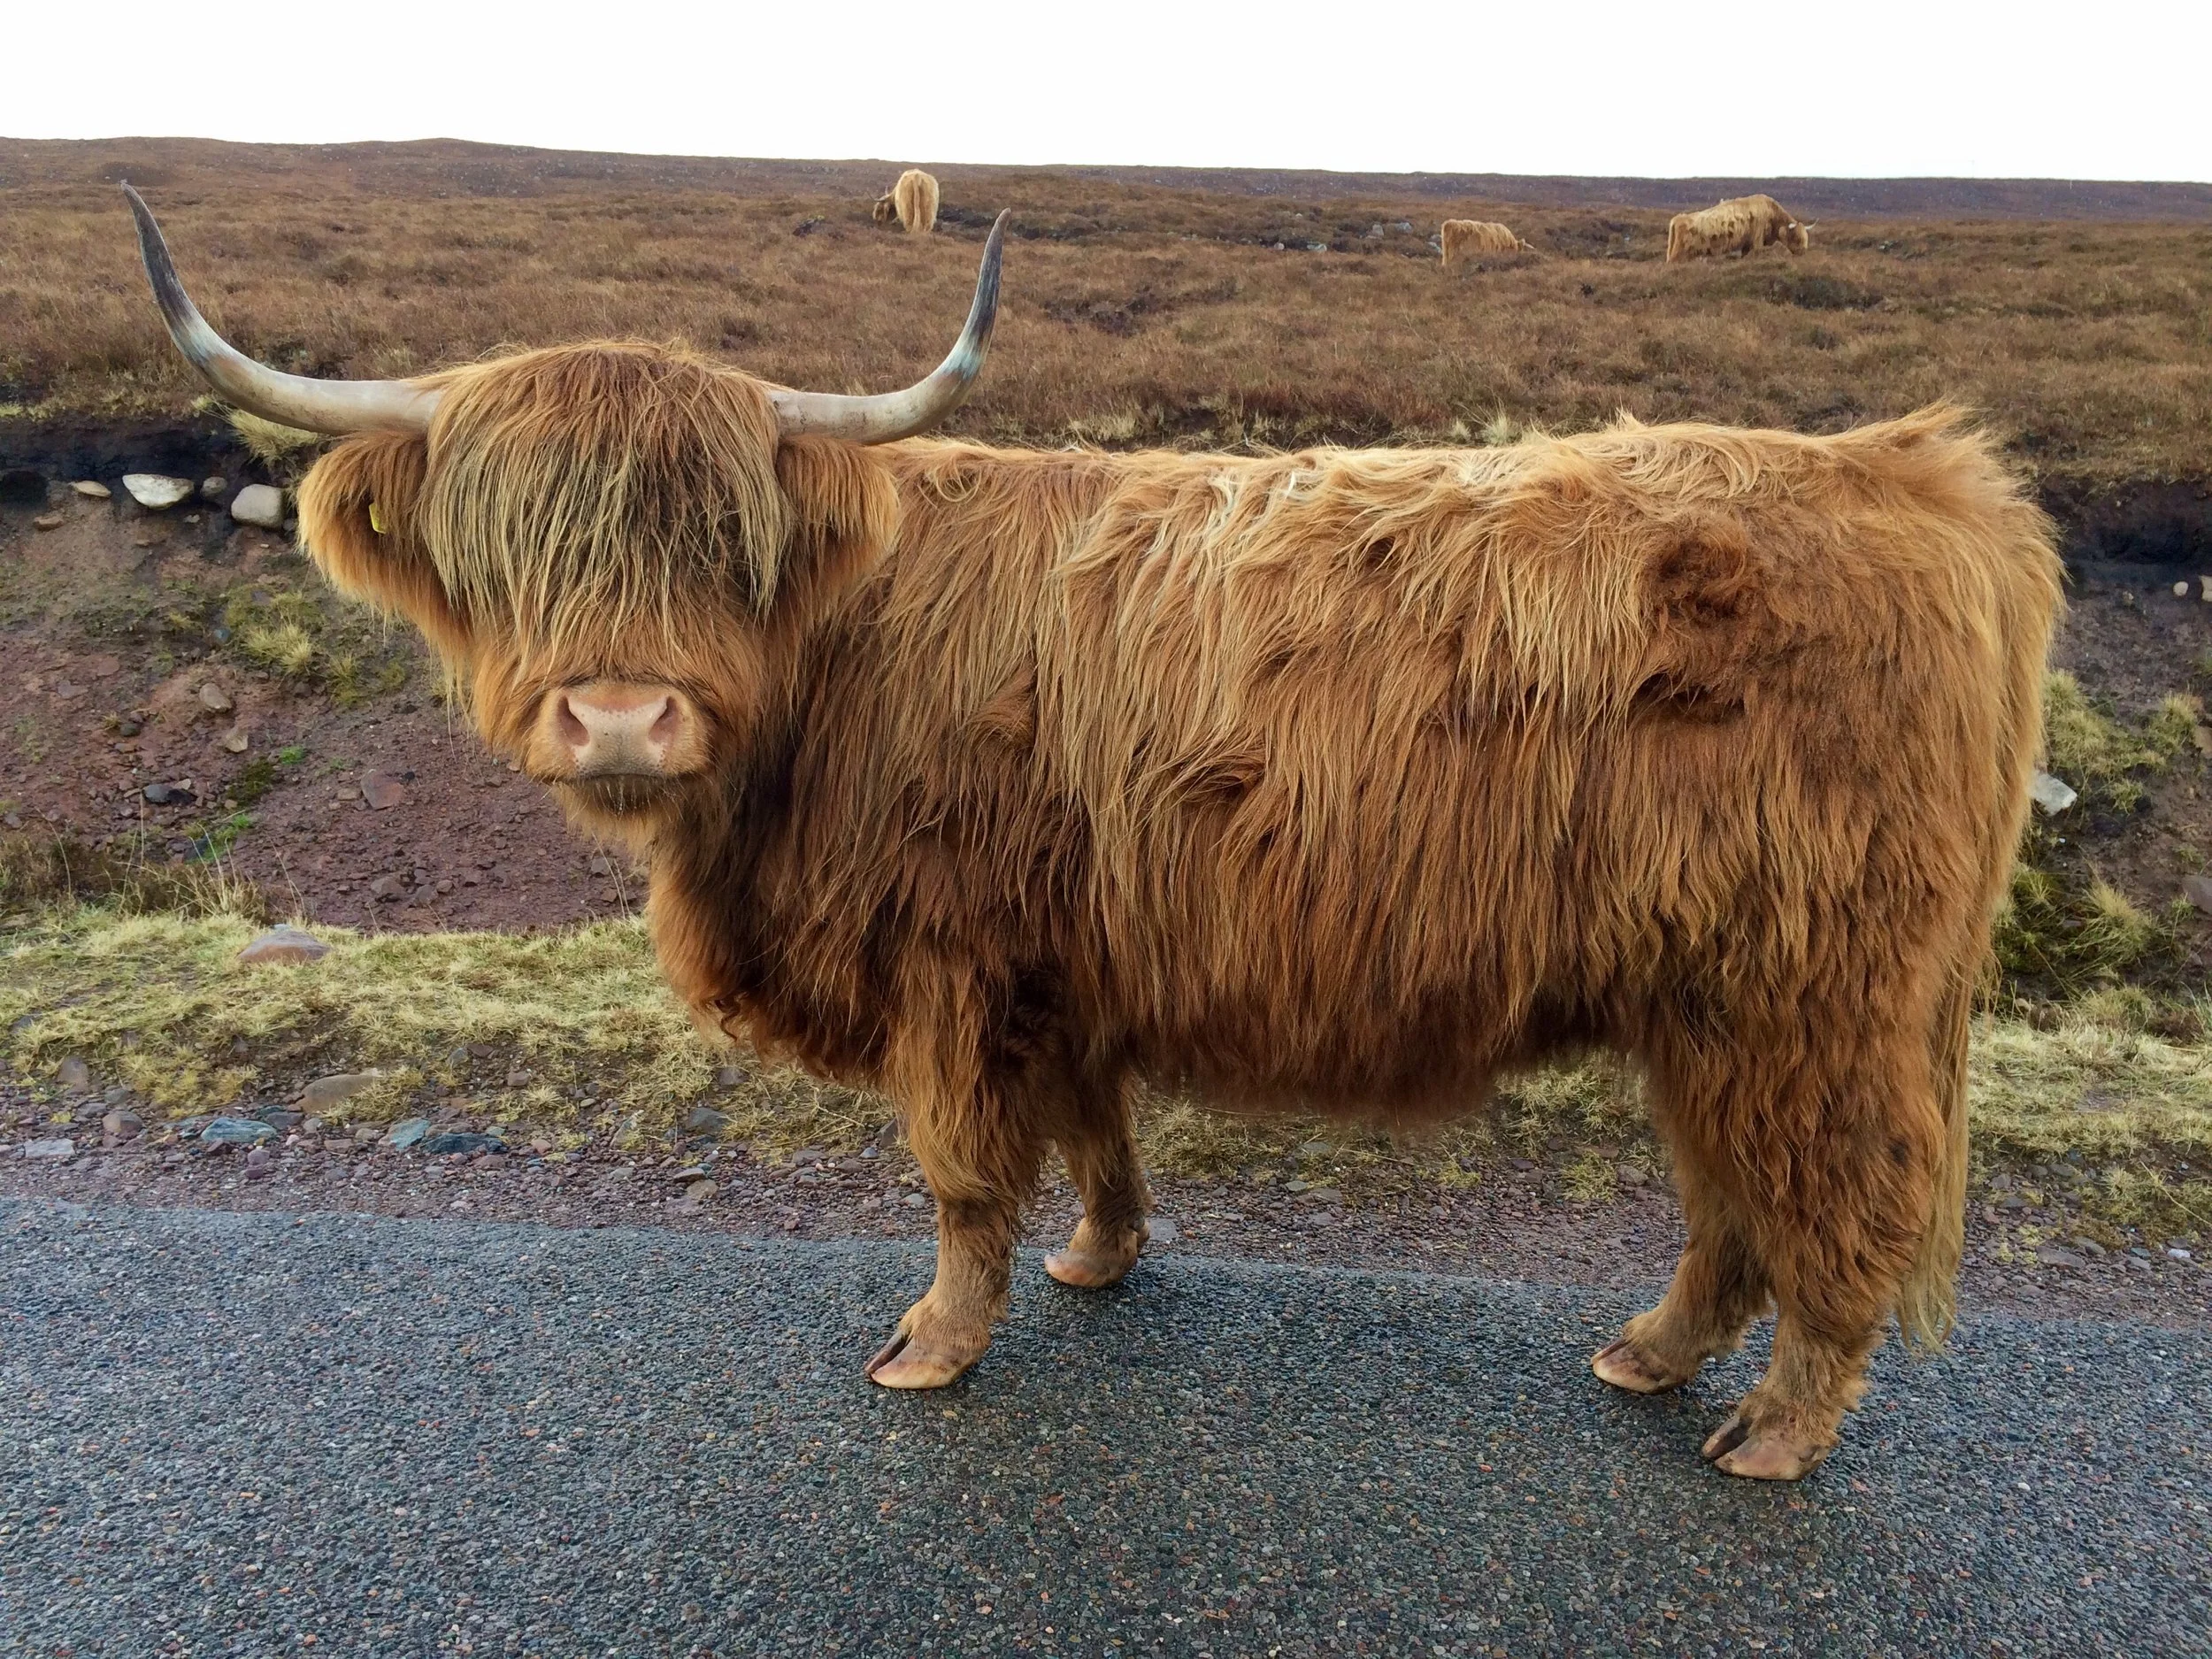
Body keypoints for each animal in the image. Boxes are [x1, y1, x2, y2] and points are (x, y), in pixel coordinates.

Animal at [1666, 195, 1810, 262]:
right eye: (1797, 238)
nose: (1803, 253)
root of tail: (1678, 218)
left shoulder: (1746, 244)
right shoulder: (1757, 241)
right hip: (1678, 254)